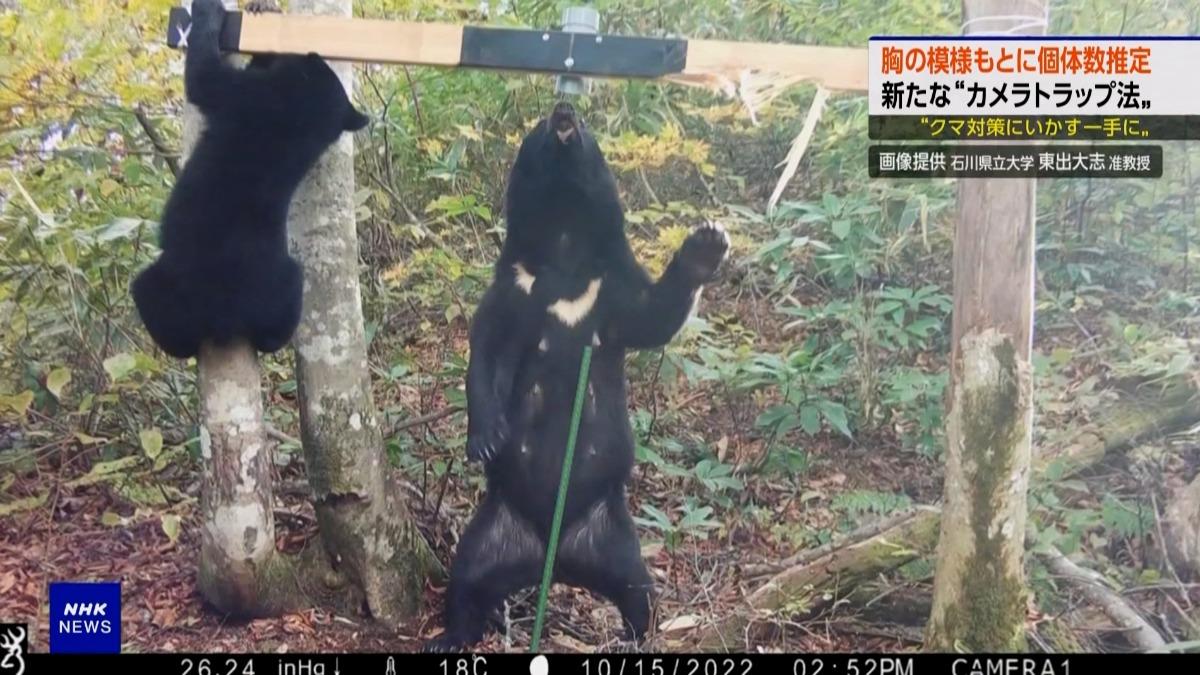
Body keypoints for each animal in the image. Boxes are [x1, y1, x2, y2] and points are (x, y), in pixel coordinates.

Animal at [131, 0, 369, 359]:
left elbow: (204, 78)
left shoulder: (246, 95)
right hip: (283, 286)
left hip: (173, 285)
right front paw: (263, 9)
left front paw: (209, 12)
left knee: (149, 296)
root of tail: (226, 318)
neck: (300, 117)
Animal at [426, 101, 730, 652]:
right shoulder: (513, 289)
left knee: (638, 592)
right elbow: (485, 350)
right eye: (540, 125)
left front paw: (705, 243)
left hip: (613, 535)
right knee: (465, 580)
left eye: (585, 126)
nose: (564, 110)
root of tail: (554, 557)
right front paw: (486, 437)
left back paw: (635, 636)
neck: (564, 246)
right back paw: (449, 635)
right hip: (494, 529)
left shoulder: (610, 287)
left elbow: (653, 316)